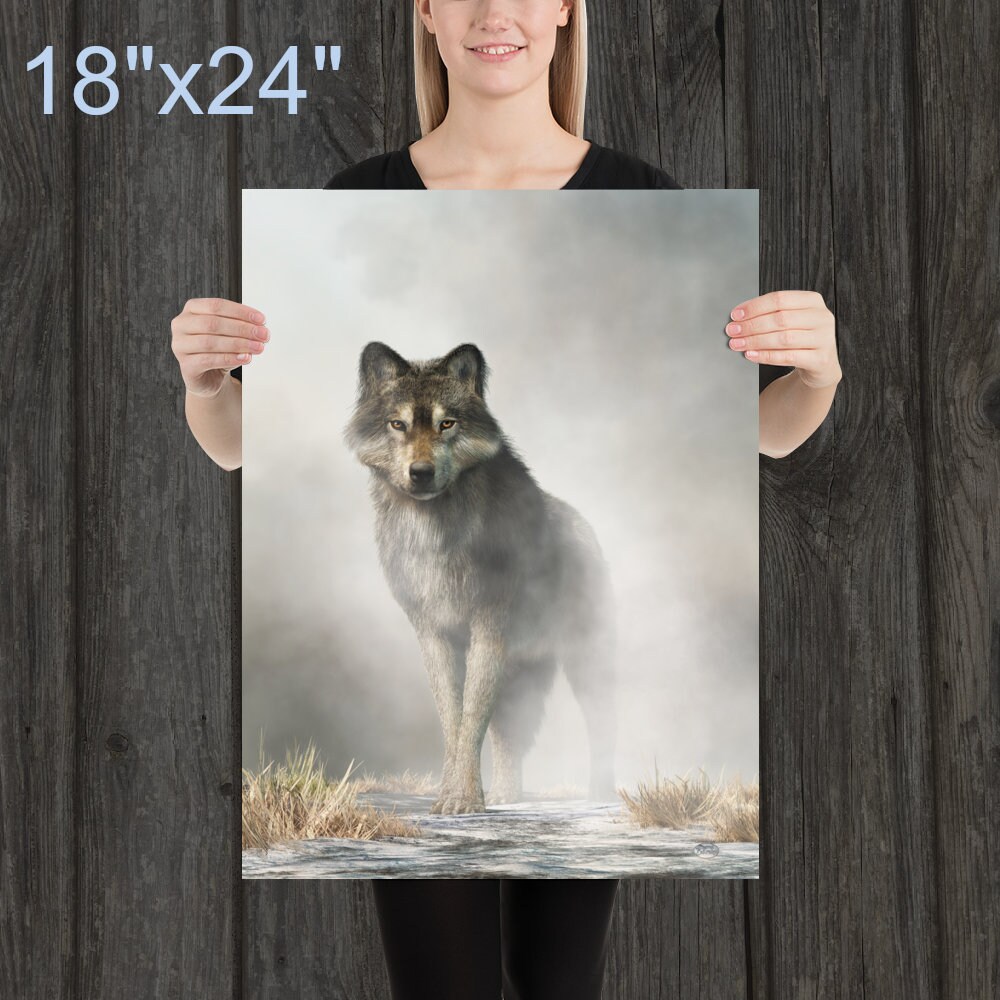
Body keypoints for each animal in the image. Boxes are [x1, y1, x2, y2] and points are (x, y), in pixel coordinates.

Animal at [345, 342, 616, 815]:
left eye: (446, 423)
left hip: (585, 662)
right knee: (512, 732)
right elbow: (453, 720)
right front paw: (451, 795)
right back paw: (508, 796)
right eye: (398, 424)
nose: (420, 472)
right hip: (521, 675)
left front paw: (464, 800)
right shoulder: (431, 631)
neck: (434, 532)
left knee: (603, 725)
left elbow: (472, 717)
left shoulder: (489, 626)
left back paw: (602, 795)